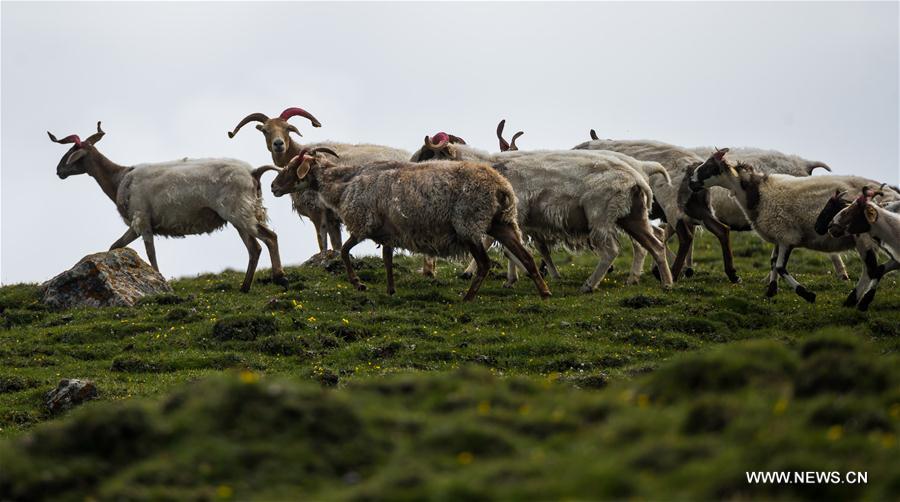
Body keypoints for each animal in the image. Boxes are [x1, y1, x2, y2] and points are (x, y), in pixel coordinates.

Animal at [264, 147, 552, 300]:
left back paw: (468, 297)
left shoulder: (363, 224)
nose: (273, 187)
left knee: (484, 264)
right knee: (526, 257)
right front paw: (390, 290)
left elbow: (345, 251)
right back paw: (545, 292)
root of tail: (501, 188)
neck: (343, 184)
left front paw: (358, 284)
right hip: (502, 222)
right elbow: (388, 261)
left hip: (469, 224)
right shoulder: (387, 233)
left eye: (291, 167)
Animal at [410, 131, 676, 292]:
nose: (409, 170)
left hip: (600, 215)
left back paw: (589, 285)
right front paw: (512, 279)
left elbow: (510, 249)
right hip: (633, 217)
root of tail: (638, 175)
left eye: (427, 153)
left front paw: (519, 277)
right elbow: (510, 249)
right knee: (655, 245)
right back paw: (666, 283)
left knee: (612, 251)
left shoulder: (515, 216)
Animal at [572, 132, 740, 282]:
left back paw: (673, 275)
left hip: (672, 206)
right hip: (695, 206)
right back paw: (732, 274)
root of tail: (694, 168)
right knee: (721, 230)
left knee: (686, 237)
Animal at [688, 150, 900, 302]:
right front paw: (771, 291)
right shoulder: (778, 236)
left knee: (871, 269)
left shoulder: (786, 236)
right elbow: (773, 262)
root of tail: (892, 196)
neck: (757, 194)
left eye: (708, 167)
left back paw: (856, 299)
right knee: (880, 266)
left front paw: (806, 294)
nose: (691, 182)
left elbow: (781, 267)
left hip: (865, 237)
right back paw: (855, 298)